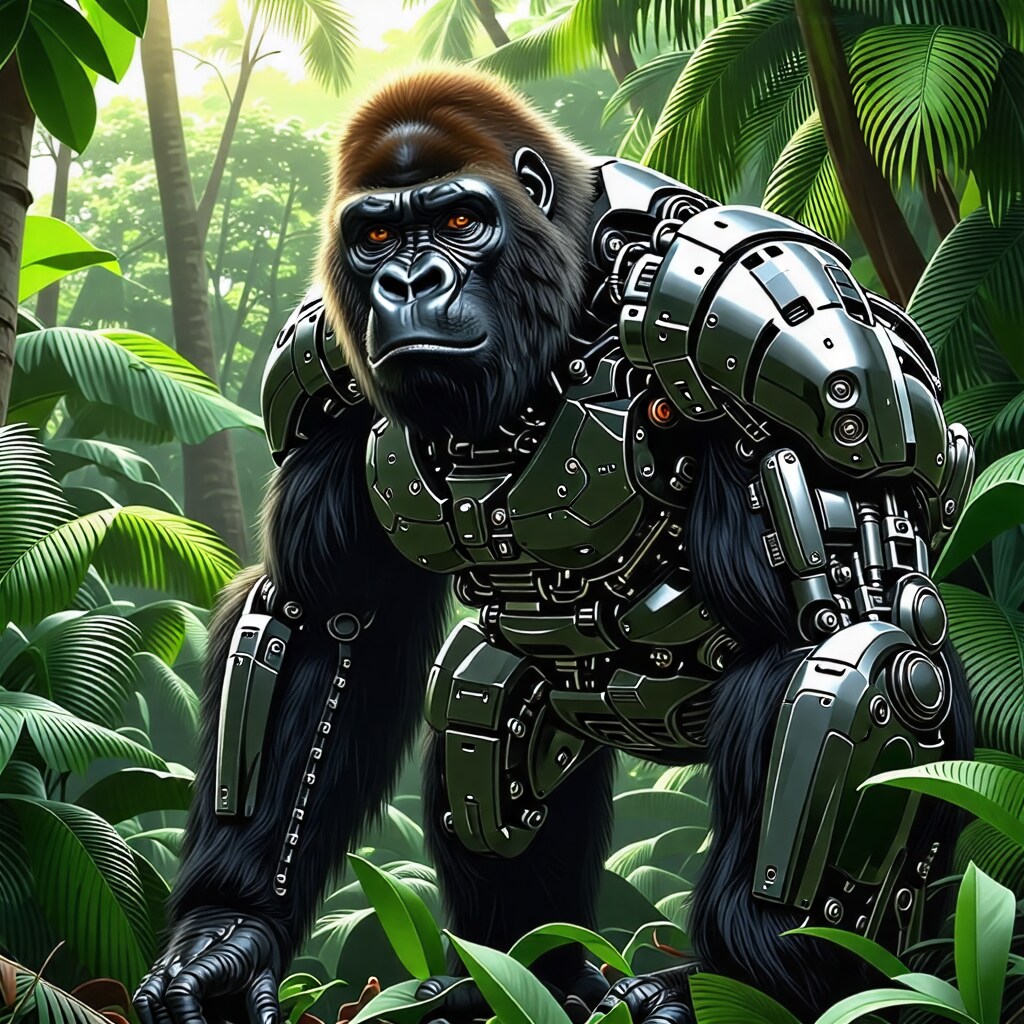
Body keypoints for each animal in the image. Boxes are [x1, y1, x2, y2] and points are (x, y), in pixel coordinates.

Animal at [132, 66, 974, 1024]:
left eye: (460, 221)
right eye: (376, 234)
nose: (409, 281)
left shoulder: (760, 324)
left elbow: (852, 634)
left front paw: (731, 989)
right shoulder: (323, 369)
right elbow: (329, 612)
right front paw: (226, 937)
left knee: (874, 662)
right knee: (485, 709)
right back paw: (523, 974)